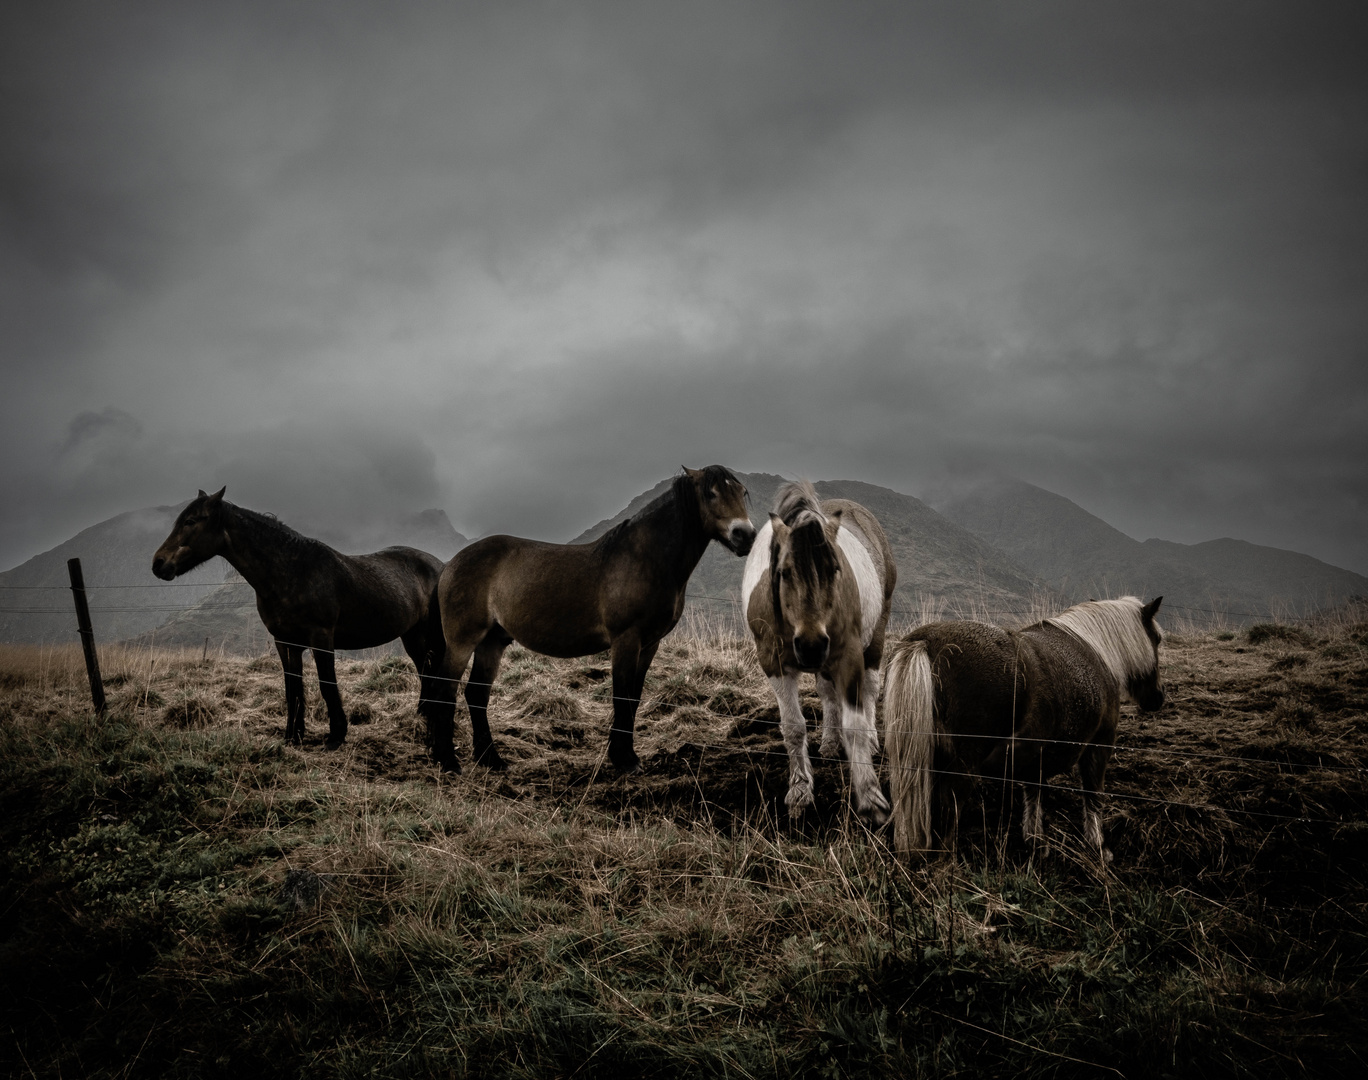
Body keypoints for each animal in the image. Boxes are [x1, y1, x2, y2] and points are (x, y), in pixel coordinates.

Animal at [153, 490, 454, 750]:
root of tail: (440, 565)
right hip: (412, 635)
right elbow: (292, 688)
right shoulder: (285, 642)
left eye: (191, 521)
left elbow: (326, 684)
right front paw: (292, 736)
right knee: (424, 670)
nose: (159, 564)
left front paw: (336, 735)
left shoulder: (321, 638)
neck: (292, 571)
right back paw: (421, 716)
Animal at [435, 468, 760, 772]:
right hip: (463, 641)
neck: (646, 560)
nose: (745, 535)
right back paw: (448, 761)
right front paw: (624, 759)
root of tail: (451, 565)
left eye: (741, 492)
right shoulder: (626, 640)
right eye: (711, 494)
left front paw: (627, 756)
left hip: (492, 642)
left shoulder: (650, 644)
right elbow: (621, 697)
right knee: (446, 690)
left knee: (477, 694)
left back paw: (491, 759)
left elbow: (633, 698)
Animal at [749, 479, 897, 826]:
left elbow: (855, 725)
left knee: (870, 690)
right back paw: (830, 743)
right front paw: (800, 792)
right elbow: (793, 727)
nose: (812, 644)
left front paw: (871, 797)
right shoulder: (773, 664)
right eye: (784, 571)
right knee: (828, 694)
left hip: (874, 638)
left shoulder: (849, 656)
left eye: (834, 569)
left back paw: (872, 741)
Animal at [880, 588, 1160, 859]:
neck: (1097, 653)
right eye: (1157, 639)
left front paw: (1036, 841)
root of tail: (928, 641)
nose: (1158, 698)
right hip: (963, 765)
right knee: (949, 806)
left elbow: (1034, 794)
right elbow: (1092, 794)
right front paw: (1098, 845)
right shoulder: (1099, 745)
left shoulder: (1035, 756)